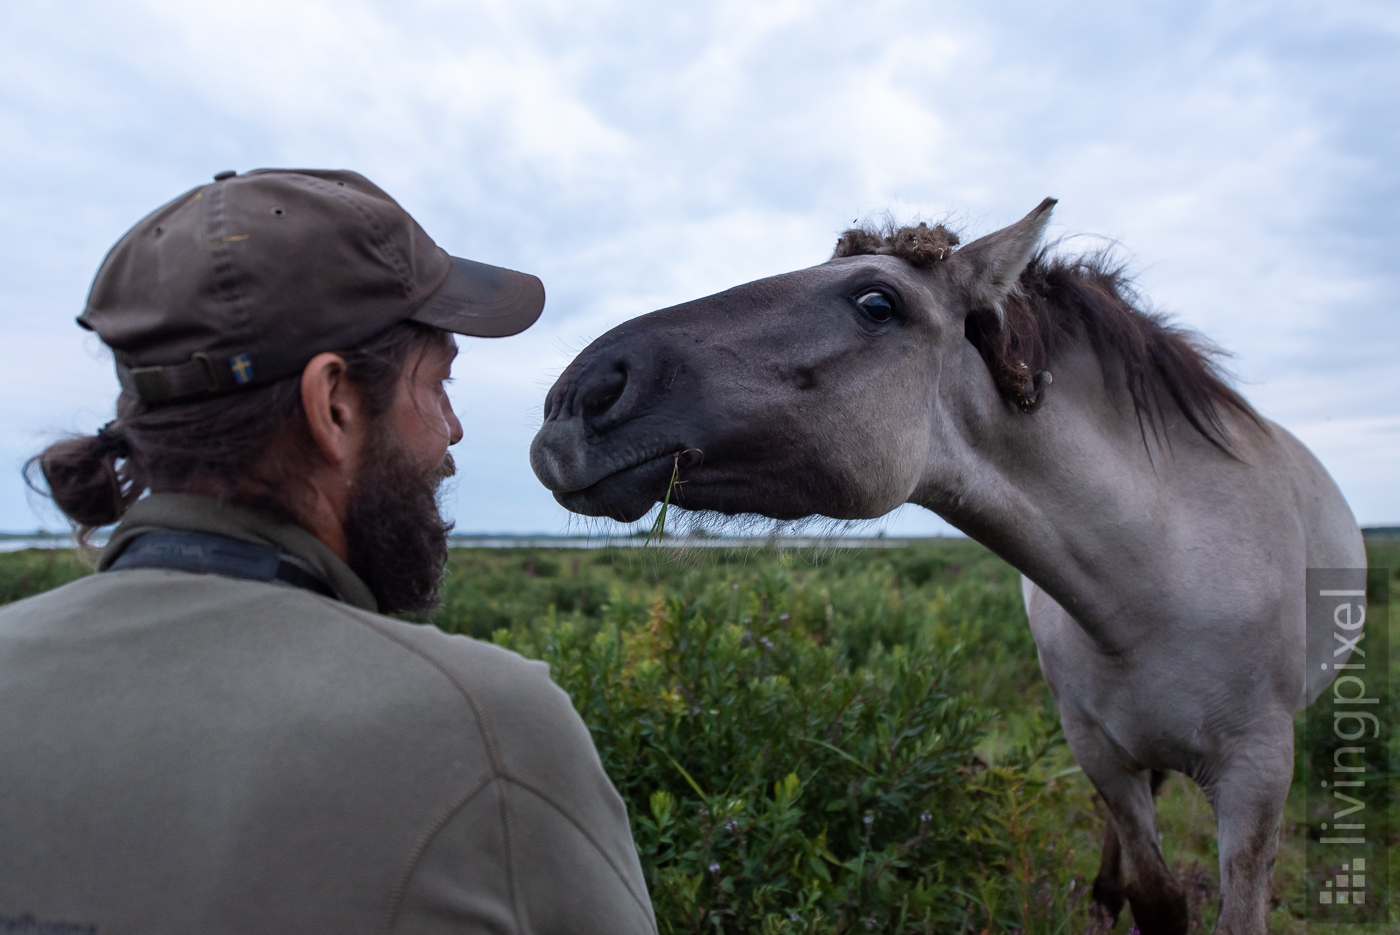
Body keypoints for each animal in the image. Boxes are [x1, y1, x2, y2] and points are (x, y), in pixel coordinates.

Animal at [529, 198, 1360, 935]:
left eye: (876, 301)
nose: (579, 395)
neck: (1153, 583)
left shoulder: (1257, 775)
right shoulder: (1100, 752)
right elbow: (1156, 898)